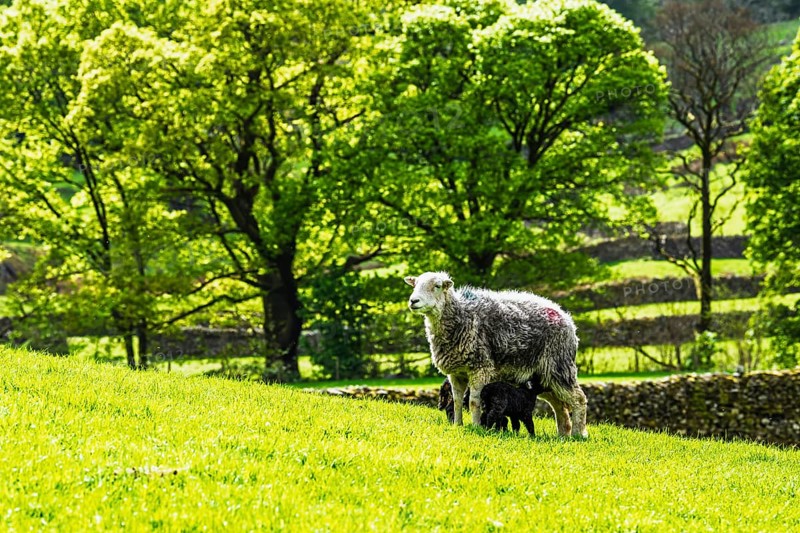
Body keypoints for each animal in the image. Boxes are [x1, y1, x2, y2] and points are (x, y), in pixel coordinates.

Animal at [405, 271, 587, 438]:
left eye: (437, 286)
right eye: (415, 284)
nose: (413, 301)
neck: (461, 315)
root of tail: (566, 318)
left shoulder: (480, 368)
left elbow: (473, 402)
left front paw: (476, 427)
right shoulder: (456, 373)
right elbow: (456, 401)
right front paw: (458, 425)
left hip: (559, 366)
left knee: (578, 399)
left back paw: (578, 435)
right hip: (542, 377)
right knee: (559, 405)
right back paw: (563, 435)